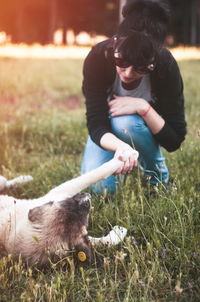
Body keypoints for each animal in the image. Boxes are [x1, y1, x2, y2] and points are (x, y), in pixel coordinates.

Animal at [0, 158, 131, 266]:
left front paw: (118, 233)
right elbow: (95, 174)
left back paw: (25, 178)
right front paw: (121, 159)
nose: (87, 197)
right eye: (69, 202)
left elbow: (101, 242)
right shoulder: (58, 192)